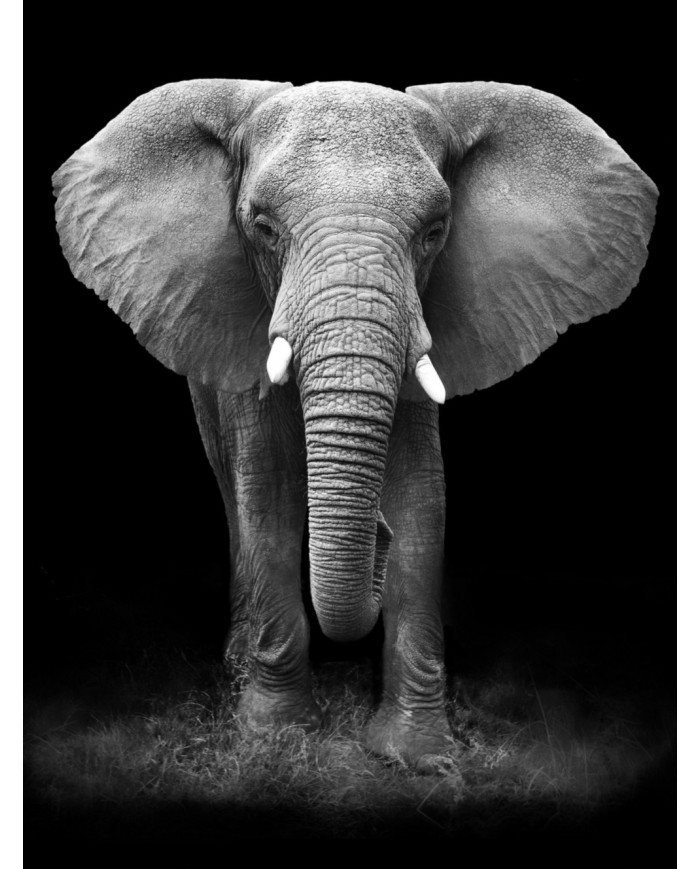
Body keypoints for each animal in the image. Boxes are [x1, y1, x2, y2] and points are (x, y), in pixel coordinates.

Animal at [52, 79, 657, 763]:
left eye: (435, 231)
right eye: (263, 227)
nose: (377, 537)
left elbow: (422, 498)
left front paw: (416, 755)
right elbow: (268, 492)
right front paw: (276, 736)